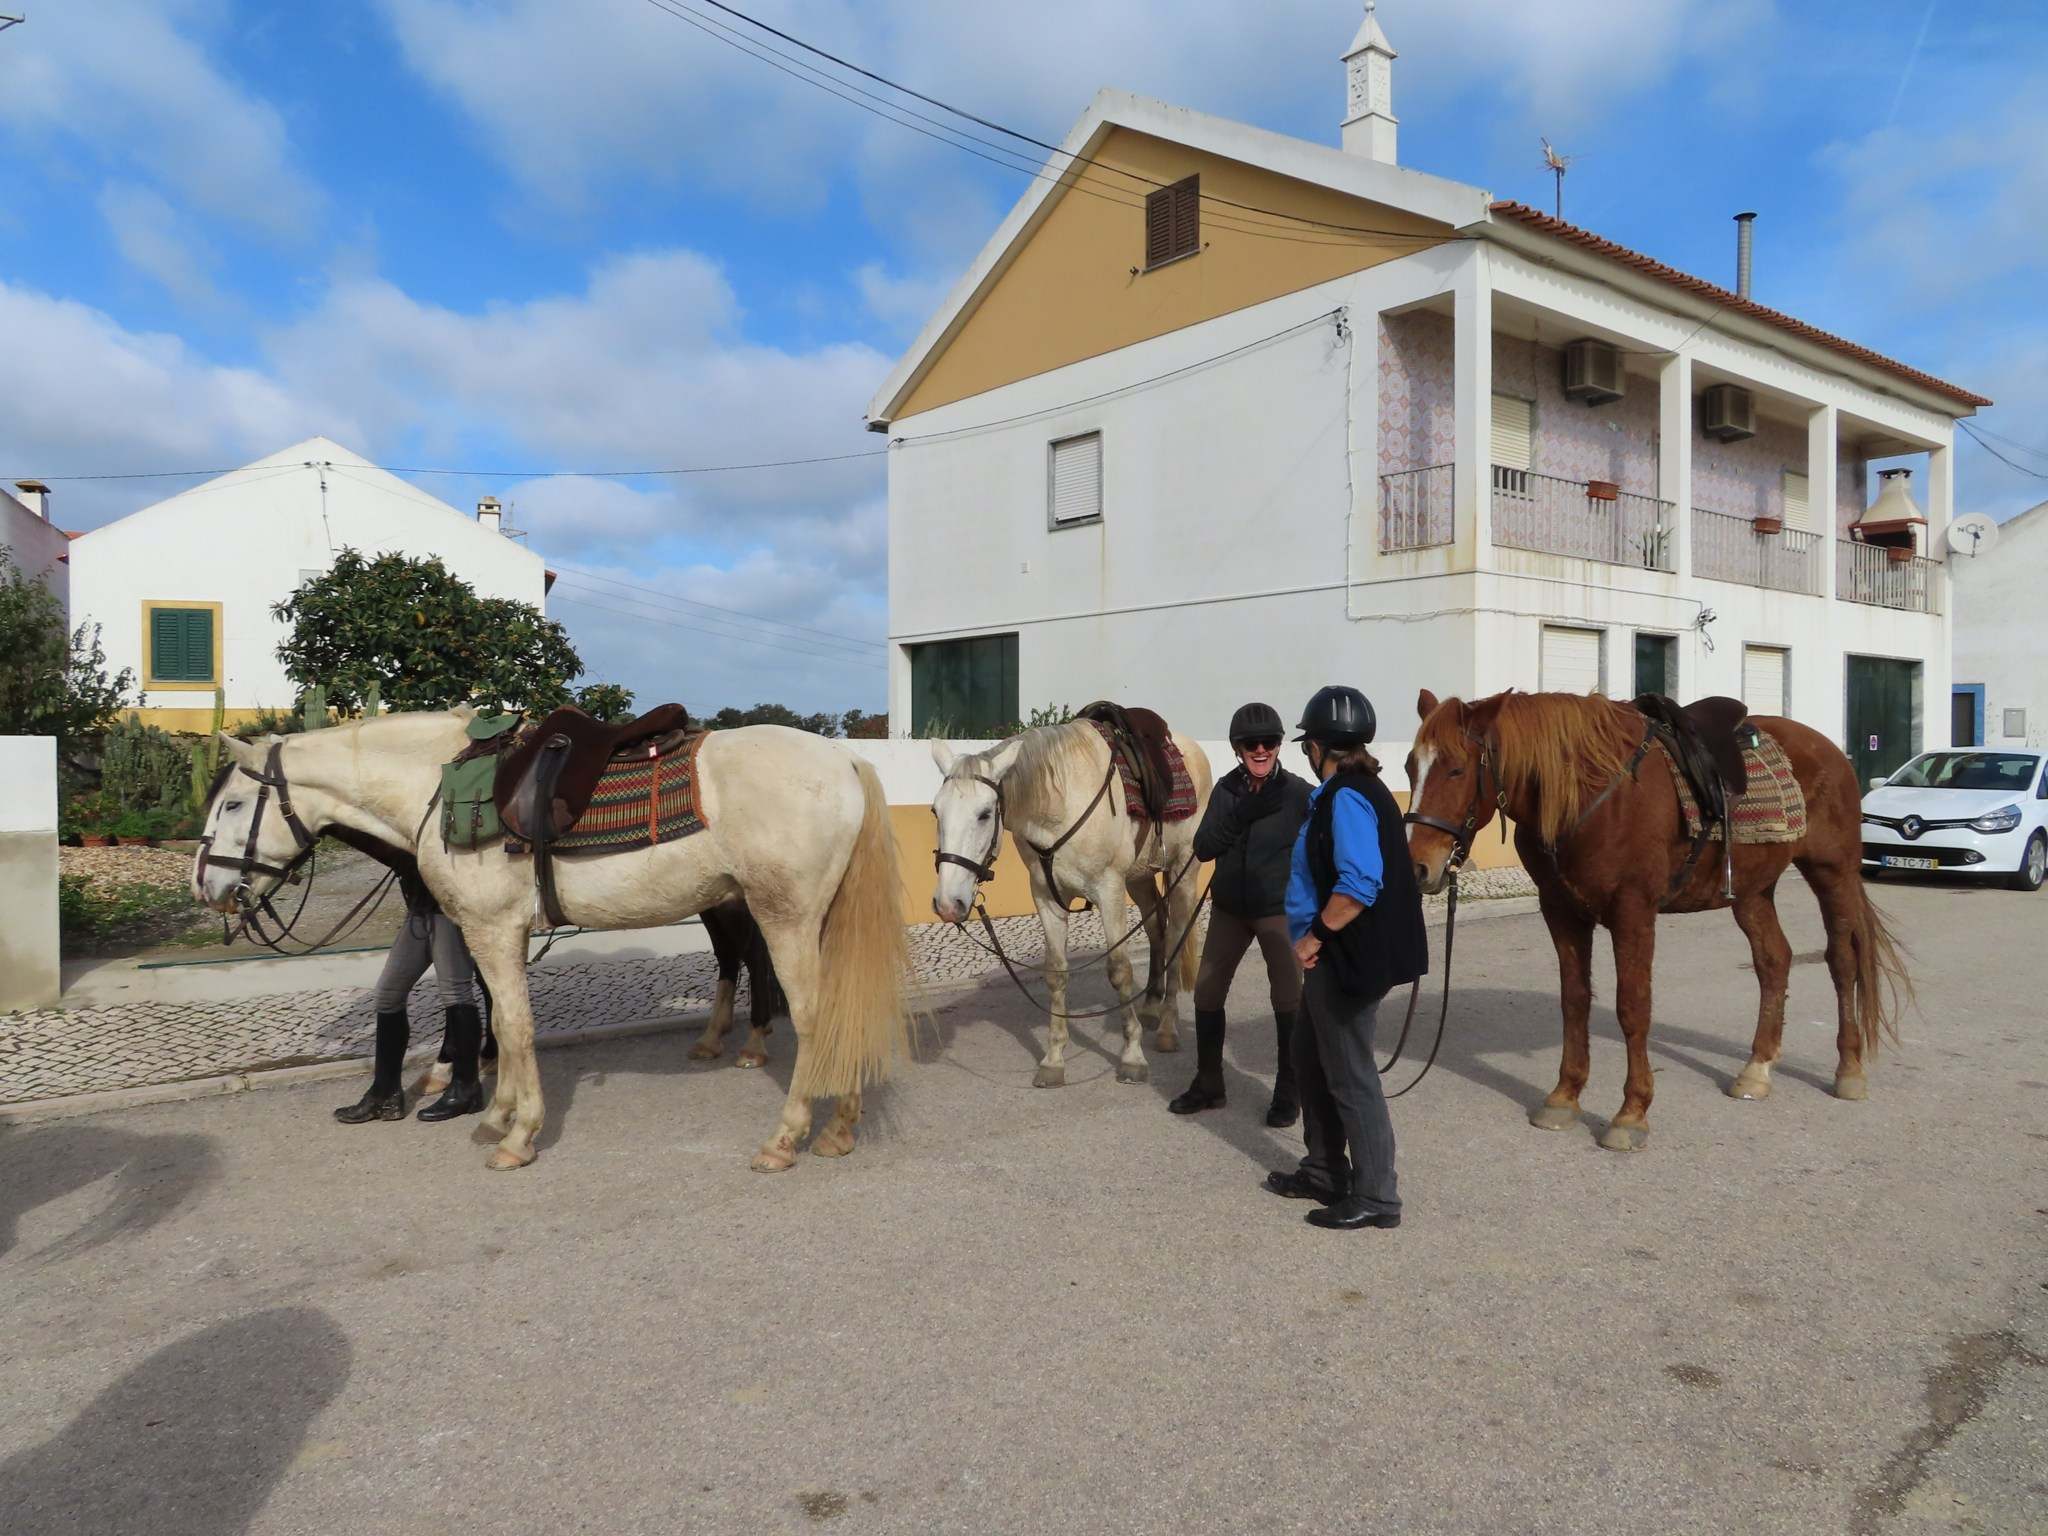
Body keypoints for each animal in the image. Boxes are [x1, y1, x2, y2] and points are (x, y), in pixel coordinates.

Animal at [191, 710, 911, 1172]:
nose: (206, 885)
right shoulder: (493, 935)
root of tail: (844, 758)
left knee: (814, 1016)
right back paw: (839, 1126)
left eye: (233, 805)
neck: (437, 790)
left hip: (783, 917)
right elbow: (500, 1024)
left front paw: (518, 1134)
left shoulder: (489, 928)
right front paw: (494, 1115)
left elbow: (513, 1026)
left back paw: (786, 1138)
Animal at [929, 720, 1212, 1088]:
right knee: (1156, 931)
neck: (1061, 805)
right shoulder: (1047, 897)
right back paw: (1150, 1007)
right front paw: (1053, 1060)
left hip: (1183, 873)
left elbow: (1119, 970)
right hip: (1138, 879)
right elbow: (1056, 974)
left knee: (1177, 936)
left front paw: (1132, 1056)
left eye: (984, 814)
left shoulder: (1109, 890)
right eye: (936, 811)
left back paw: (1166, 1029)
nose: (949, 903)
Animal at [1402, 688, 1910, 1151]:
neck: (1591, 794)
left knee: (1842, 962)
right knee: (1774, 961)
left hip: (1832, 873)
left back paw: (1849, 1070)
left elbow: (1633, 1007)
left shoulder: (1633, 910)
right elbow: (1574, 1001)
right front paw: (1564, 1098)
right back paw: (1757, 1069)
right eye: (1410, 767)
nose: (1419, 868)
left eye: (1456, 768)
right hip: (1753, 891)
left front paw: (1631, 1114)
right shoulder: (1561, 910)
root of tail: (1831, 751)